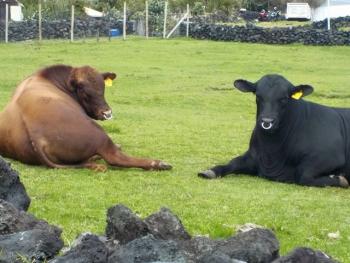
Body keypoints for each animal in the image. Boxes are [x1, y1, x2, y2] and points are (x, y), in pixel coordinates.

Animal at [0, 65, 171, 172]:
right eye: (84, 91)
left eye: (103, 88)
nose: (107, 113)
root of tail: (35, 136)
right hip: (99, 134)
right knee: (113, 156)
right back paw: (158, 163)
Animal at [200, 74, 350, 189]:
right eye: (258, 96)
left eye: (284, 98)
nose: (267, 122)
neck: (272, 153)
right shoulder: (253, 155)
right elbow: (233, 162)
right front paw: (209, 171)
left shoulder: (330, 156)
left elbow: (304, 175)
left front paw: (341, 180)